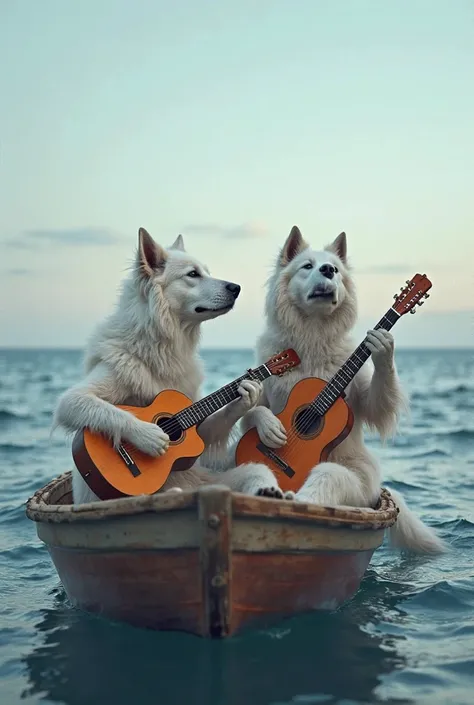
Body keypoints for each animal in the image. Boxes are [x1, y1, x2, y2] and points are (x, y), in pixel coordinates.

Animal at [53, 228, 282, 504]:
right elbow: (84, 404)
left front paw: (248, 395)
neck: (161, 343)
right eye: (192, 274)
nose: (236, 287)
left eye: (206, 271)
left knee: (258, 471)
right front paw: (150, 436)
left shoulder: (197, 426)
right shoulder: (86, 389)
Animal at [237, 228, 448, 552]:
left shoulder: (362, 391)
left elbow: (378, 408)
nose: (327, 270)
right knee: (252, 469)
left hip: (359, 484)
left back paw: (293, 499)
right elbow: (252, 409)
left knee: (328, 477)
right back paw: (267, 491)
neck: (313, 334)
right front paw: (269, 425)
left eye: (334, 269)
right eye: (308, 266)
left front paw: (383, 345)